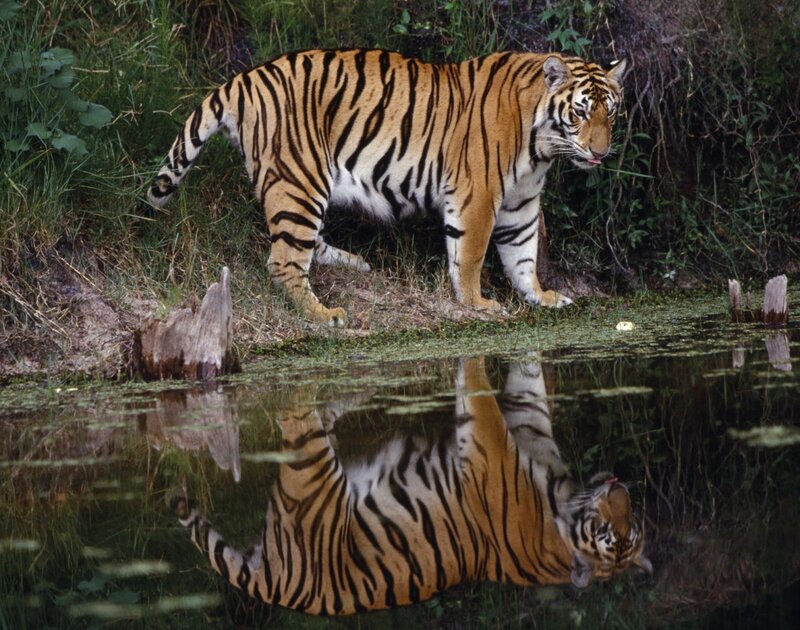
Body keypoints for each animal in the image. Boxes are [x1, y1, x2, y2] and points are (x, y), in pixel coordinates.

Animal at [149, 49, 627, 326]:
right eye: (580, 113)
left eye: (611, 113)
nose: (600, 153)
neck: (541, 146)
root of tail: (244, 79)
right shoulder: (478, 194)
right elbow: (471, 254)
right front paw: (478, 304)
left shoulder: (521, 201)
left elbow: (524, 253)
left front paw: (541, 297)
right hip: (299, 179)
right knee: (283, 260)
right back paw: (325, 314)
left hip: (301, 187)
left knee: (305, 244)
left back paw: (353, 264)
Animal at [174, 356, 651, 615]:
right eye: (610, 532)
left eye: (625, 533)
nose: (621, 489)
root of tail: (281, 588)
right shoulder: (505, 443)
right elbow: (507, 394)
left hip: (308, 471)